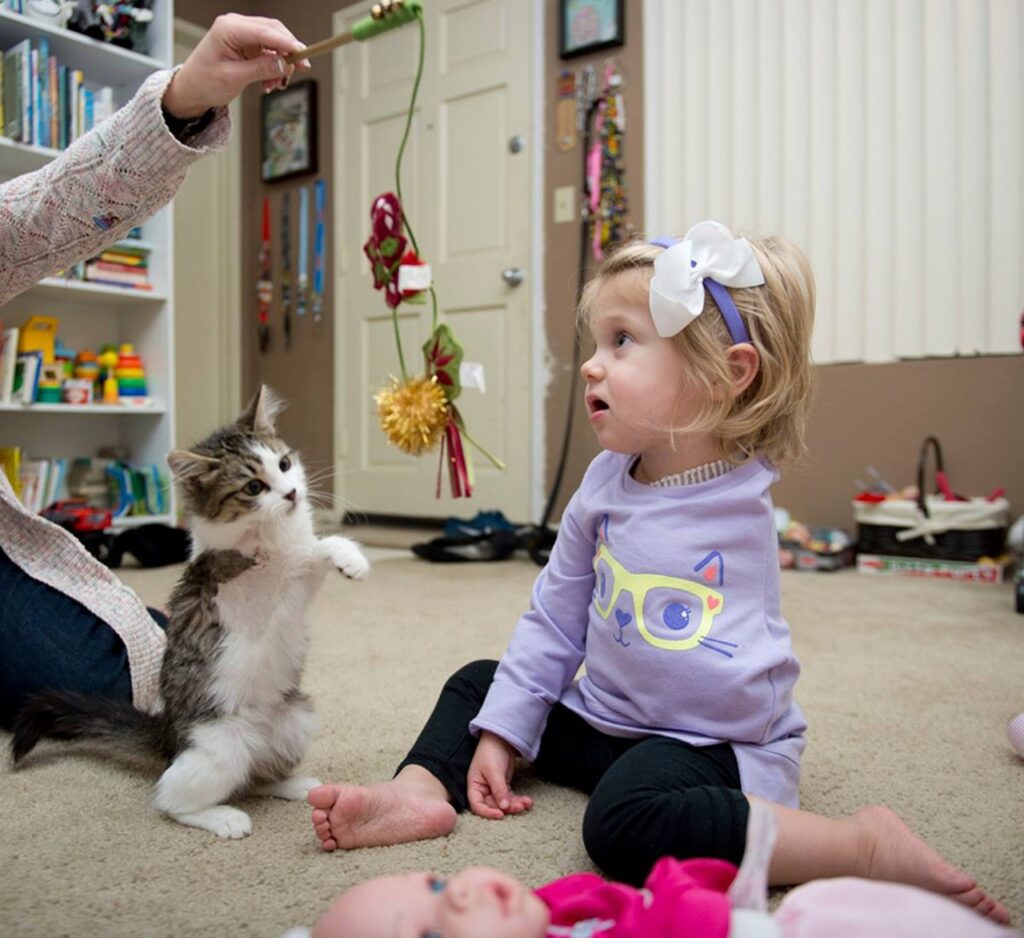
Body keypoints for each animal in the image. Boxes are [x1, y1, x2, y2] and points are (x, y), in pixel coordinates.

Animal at [9, 385, 370, 839]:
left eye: (285, 464)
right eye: (254, 487)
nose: (291, 494)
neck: (271, 536)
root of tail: (168, 735)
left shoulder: (297, 585)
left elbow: (315, 551)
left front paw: (350, 558)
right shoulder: (237, 586)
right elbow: (283, 563)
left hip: (296, 719)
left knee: (256, 777)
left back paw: (293, 784)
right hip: (220, 746)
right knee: (172, 799)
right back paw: (223, 818)